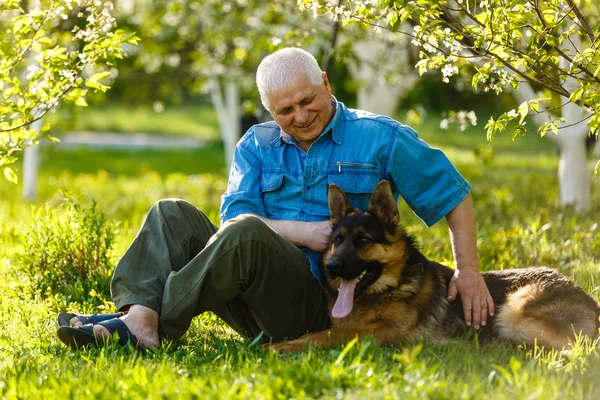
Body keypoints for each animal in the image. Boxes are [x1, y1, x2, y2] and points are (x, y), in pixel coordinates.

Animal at [268, 181, 600, 354]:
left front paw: (279, 346)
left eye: (363, 240)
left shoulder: (378, 333)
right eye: (338, 240)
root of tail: (588, 299)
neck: (392, 285)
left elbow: (325, 335)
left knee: (582, 348)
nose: (333, 266)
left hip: (515, 314)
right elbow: (325, 330)